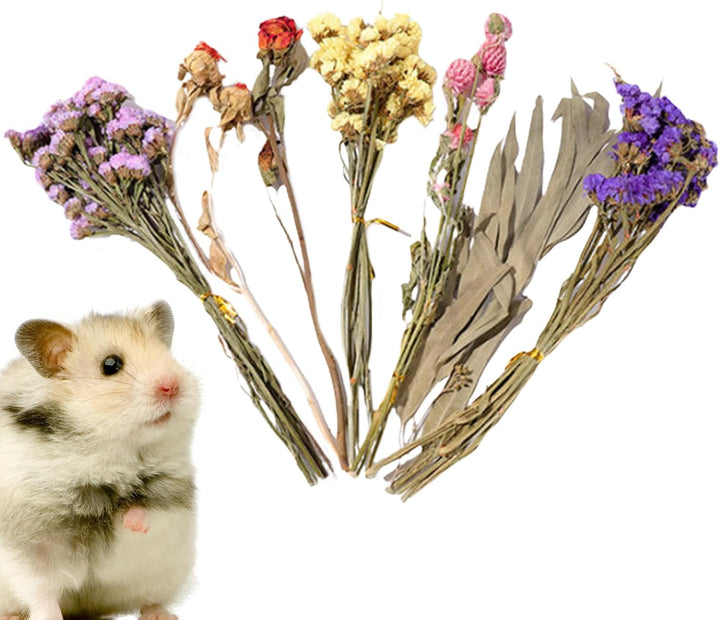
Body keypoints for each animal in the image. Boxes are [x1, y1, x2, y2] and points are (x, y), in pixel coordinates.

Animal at [0, 301, 199, 620]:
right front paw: (49, 617)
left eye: (168, 355)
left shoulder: (173, 498)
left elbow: (150, 512)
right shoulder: (30, 545)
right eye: (111, 365)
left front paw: (130, 519)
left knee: (152, 598)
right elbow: (41, 592)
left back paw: (161, 615)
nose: (172, 385)